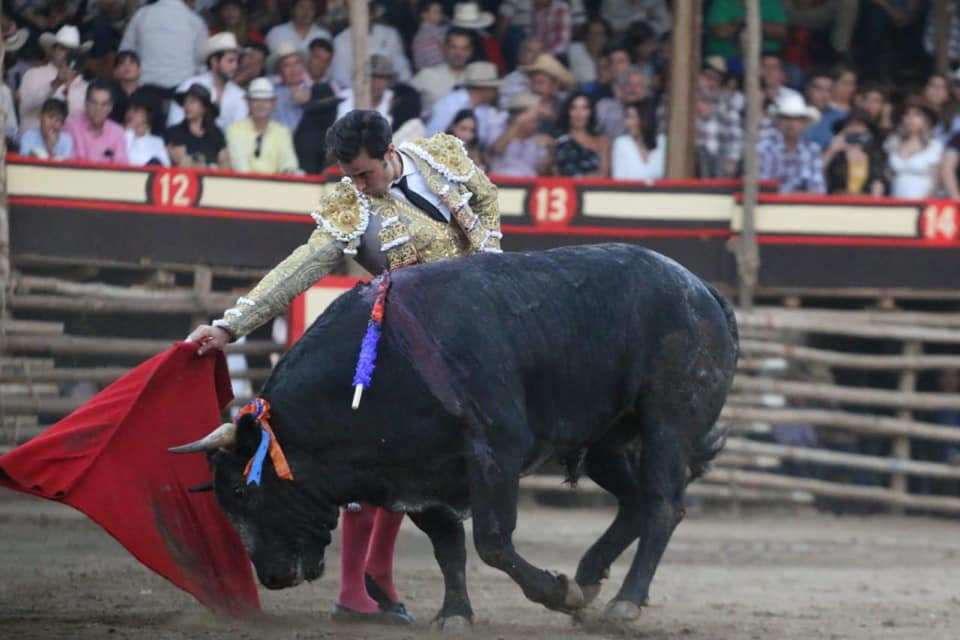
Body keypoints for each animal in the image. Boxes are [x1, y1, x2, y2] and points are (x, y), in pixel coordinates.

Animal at [176, 242, 740, 624]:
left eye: (242, 491)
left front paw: (554, 593)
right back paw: (588, 578)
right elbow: (448, 545)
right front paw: (455, 613)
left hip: (667, 421)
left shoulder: (495, 453)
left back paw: (623, 602)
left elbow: (491, 542)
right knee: (635, 501)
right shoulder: (414, 476)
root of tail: (703, 292)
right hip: (607, 439)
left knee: (663, 505)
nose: (272, 577)